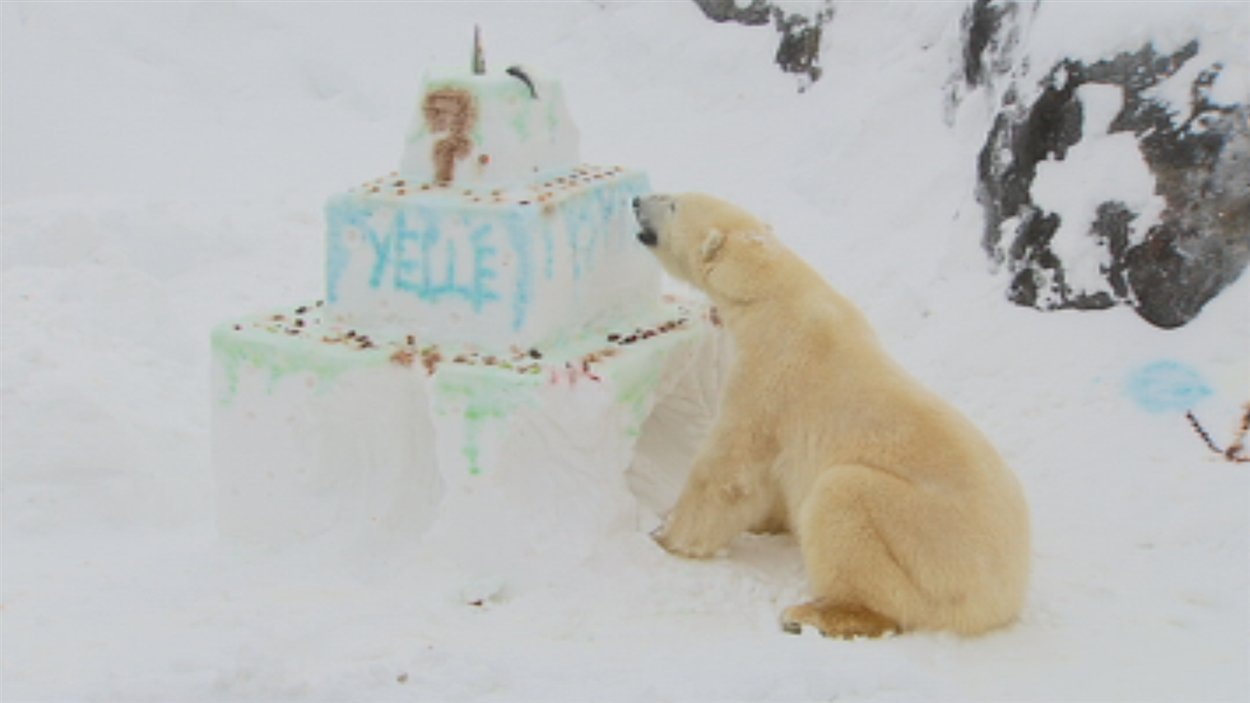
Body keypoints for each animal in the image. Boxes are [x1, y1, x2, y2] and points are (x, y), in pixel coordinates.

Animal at [630, 191, 1030, 635]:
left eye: (673, 204)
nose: (636, 200)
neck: (771, 290)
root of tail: (1001, 602)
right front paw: (763, 522)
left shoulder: (768, 374)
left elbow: (728, 469)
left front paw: (665, 534)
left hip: (928, 547)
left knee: (842, 496)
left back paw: (815, 613)